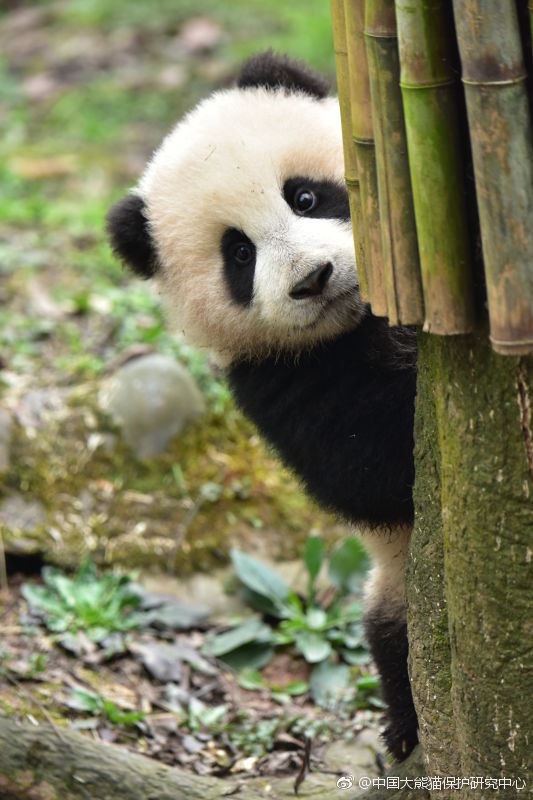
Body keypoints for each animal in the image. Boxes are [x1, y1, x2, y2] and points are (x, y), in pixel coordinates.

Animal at [107, 51, 419, 762]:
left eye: (303, 196)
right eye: (240, 253)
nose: (312, 279)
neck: (354, 323)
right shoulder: (276, 382)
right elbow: (368, 471)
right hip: (399, 585)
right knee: (393, 642)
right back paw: (404, 729)